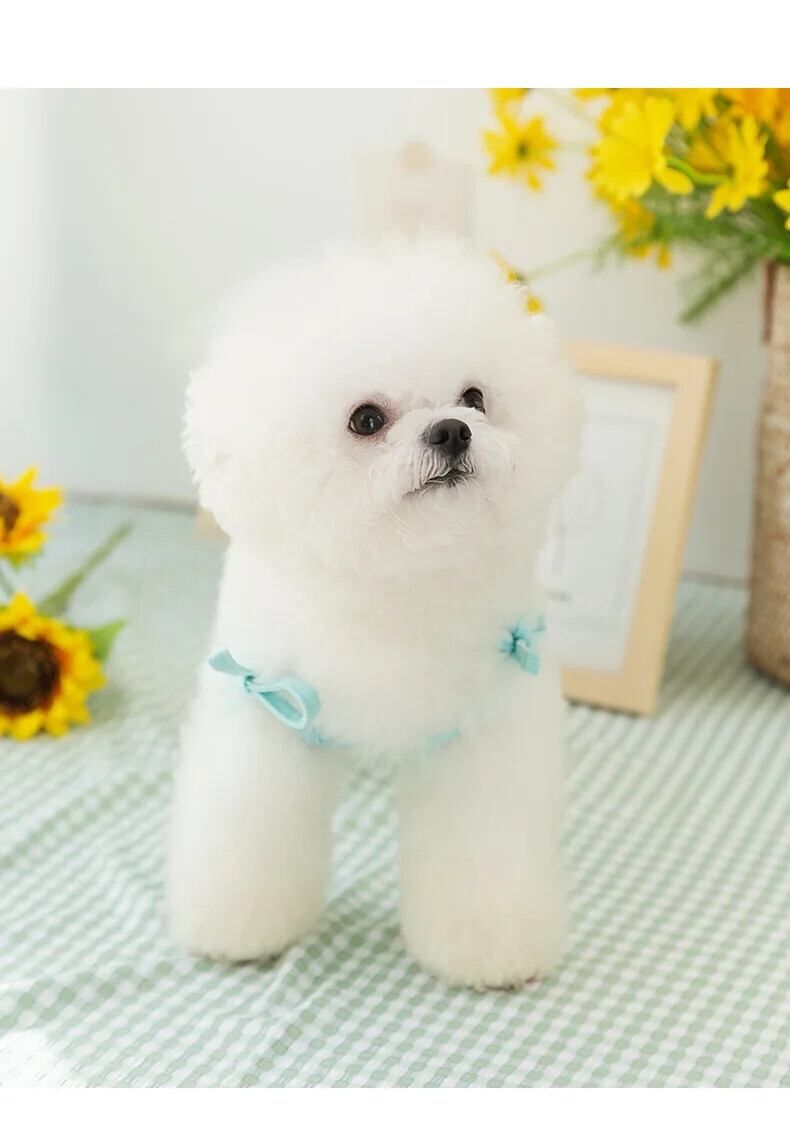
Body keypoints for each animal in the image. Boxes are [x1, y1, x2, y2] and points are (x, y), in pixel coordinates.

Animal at [168, 235, 581, 989]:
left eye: (476, 397)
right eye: (366, 419)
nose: (453, 430)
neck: (396, 587)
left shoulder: (483, 735)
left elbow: (483, 850)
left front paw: (488, 947)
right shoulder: (266, 708)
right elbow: (248, 835)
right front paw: (238, 926)